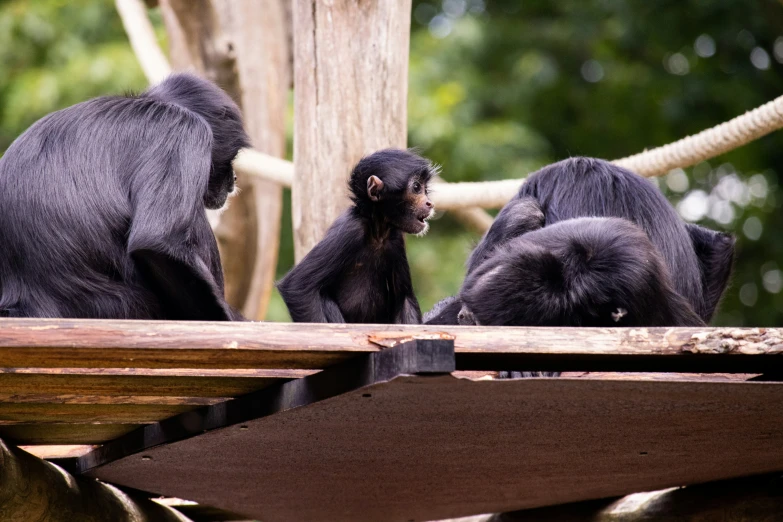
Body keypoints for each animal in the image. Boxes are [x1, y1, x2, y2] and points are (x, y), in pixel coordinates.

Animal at [278, 148, 438, 322]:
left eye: (425, 189)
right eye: (416, 187)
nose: (429, 203)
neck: (377, 233)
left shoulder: (395, 239)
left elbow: (405, 301)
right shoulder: (350, 230)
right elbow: (296, 286)